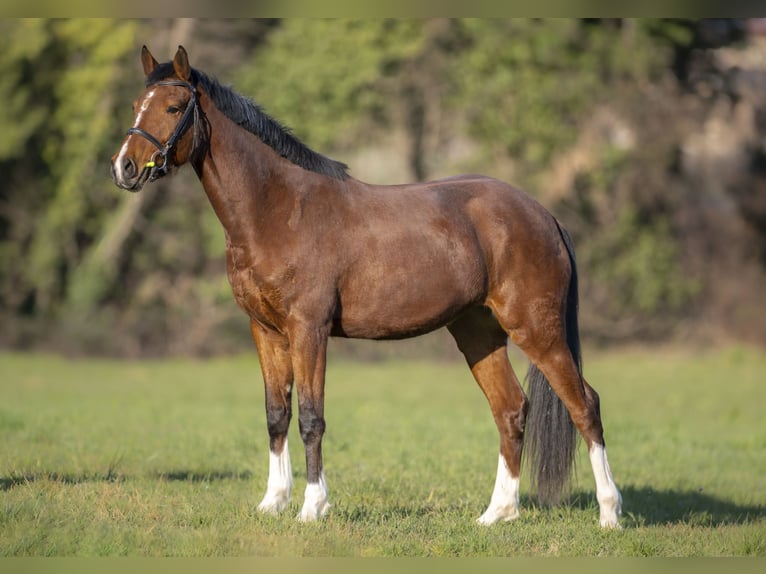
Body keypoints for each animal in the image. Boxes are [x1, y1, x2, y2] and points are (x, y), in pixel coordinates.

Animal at [109, 47, 624, 528]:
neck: (279, 209)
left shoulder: (309, 330)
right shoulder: (265, 331)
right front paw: (273, 503)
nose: (124, 168)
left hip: (537, 329)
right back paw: (497, 513)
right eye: (137, 104)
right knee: (512, 409)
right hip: (478, 333)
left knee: (585, 405)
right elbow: (277, 414)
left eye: (175, 106)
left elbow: (311, 418)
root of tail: (543, 214)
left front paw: (312, 507)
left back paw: (609, 514)